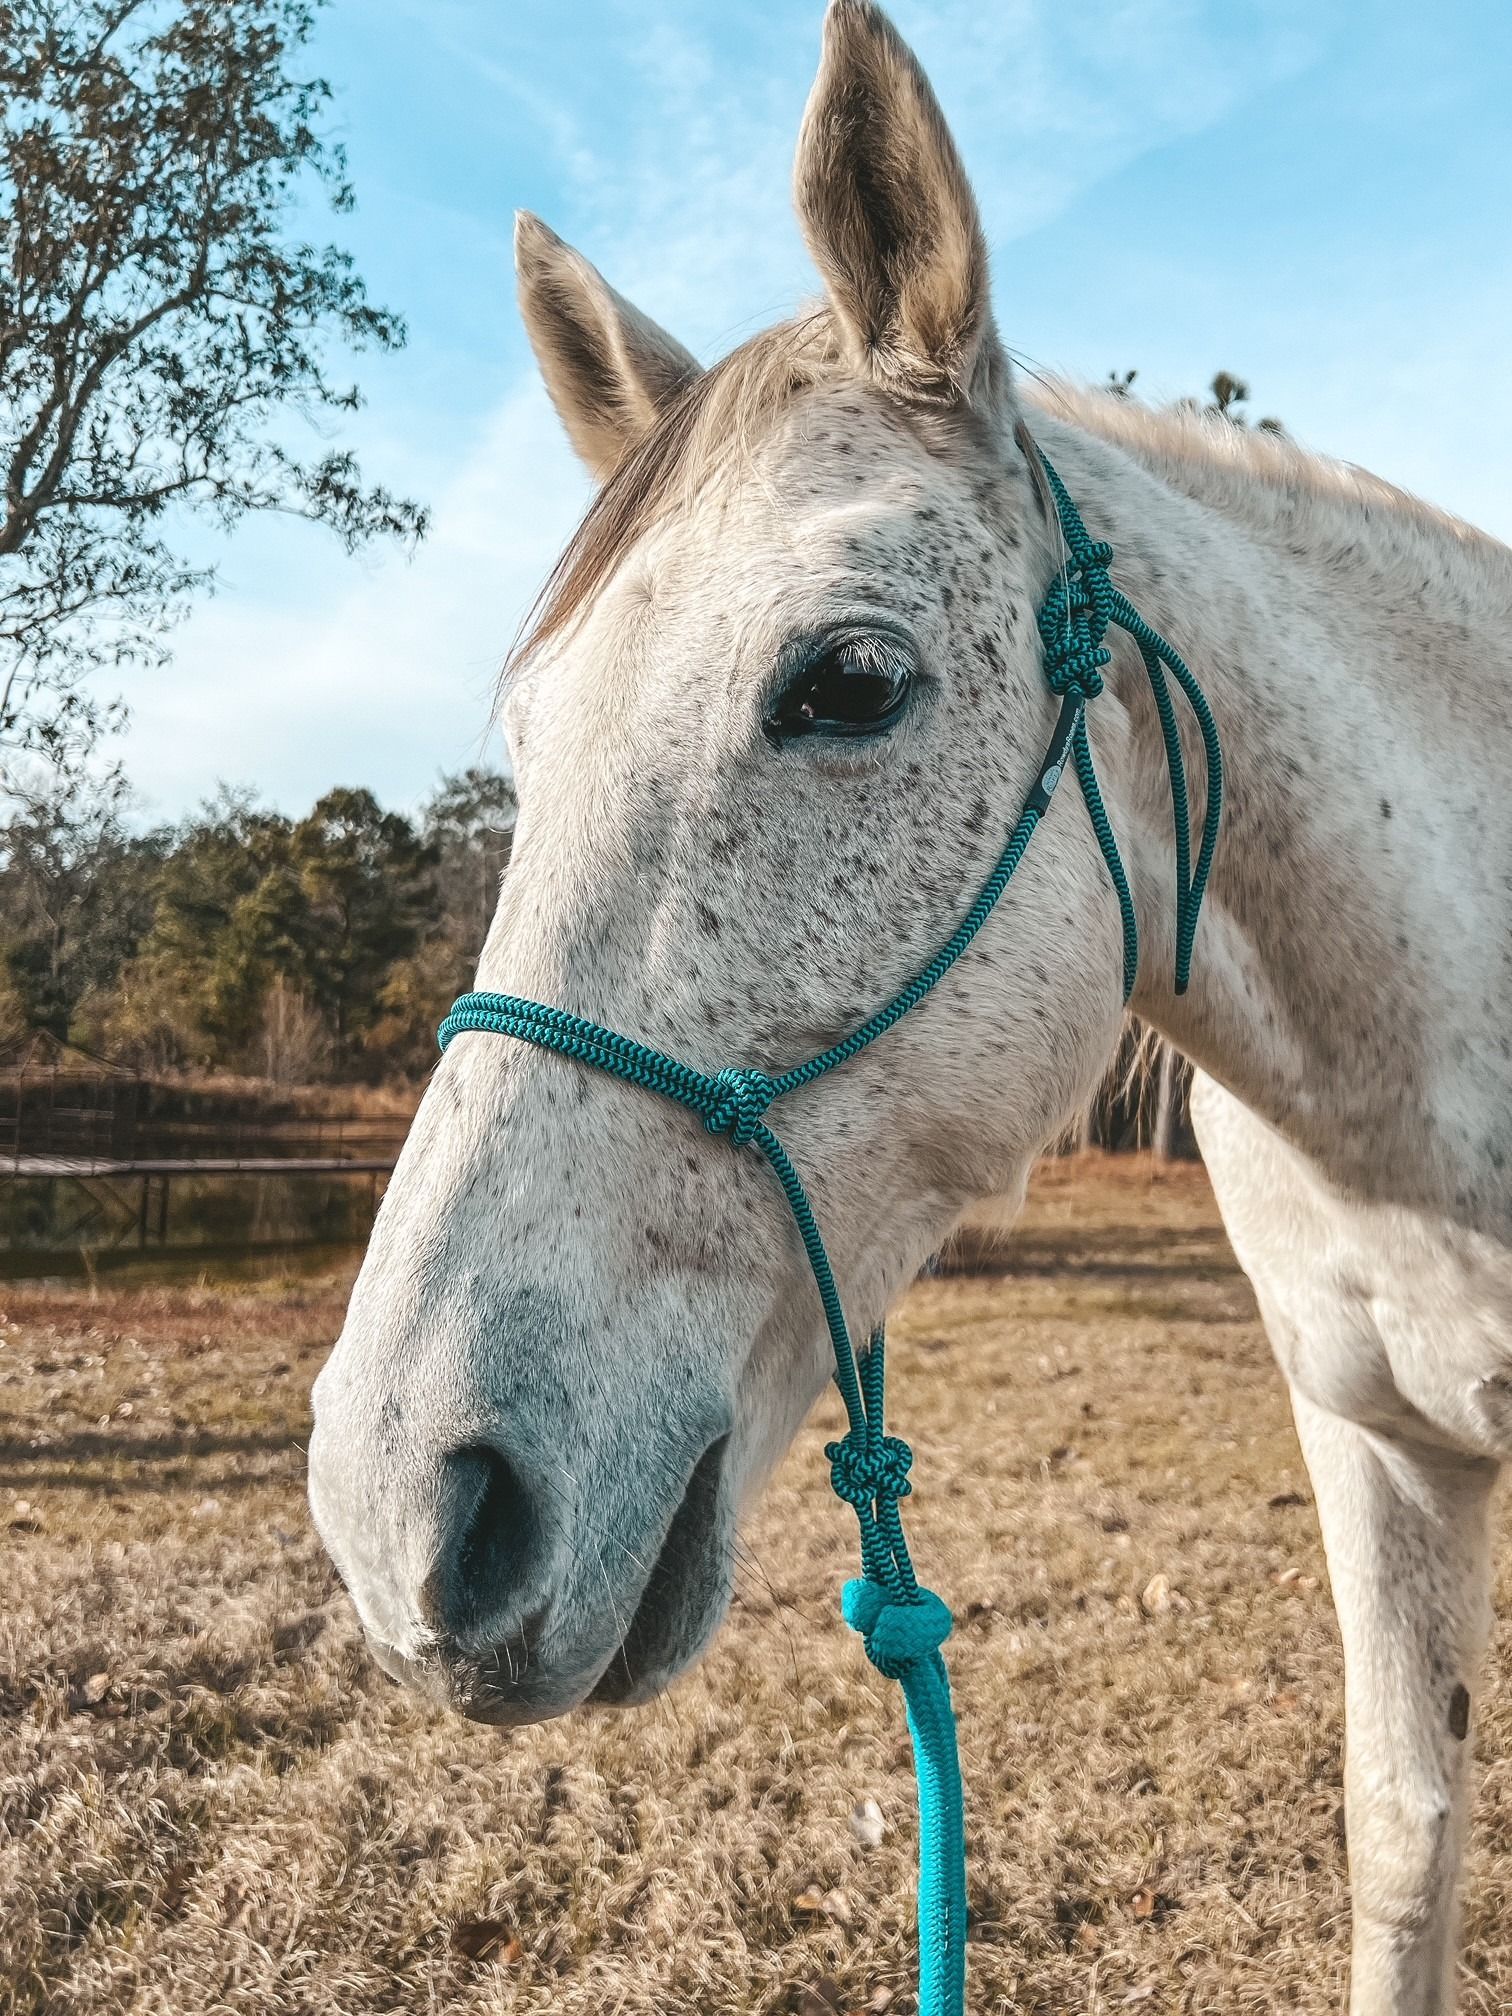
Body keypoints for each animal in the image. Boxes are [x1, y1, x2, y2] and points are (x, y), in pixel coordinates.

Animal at [307, 6, 1512, 2009]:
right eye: (531, 739)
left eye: (850, 682)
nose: (402, 1504)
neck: (1419, 1102)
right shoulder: (1375, 1445)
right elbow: (1402, 1836)